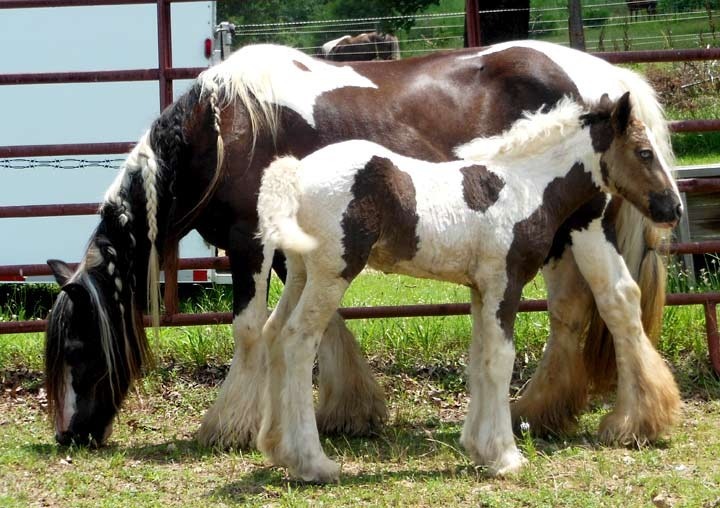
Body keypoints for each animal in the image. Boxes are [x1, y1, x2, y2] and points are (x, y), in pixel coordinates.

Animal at [258, 92, 680, 480]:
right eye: (644, 152)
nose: (672, 208)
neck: (525, 185)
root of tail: (295, 172)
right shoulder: (504, 283)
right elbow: (500, 360)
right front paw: (506, 457)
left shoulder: (479, 288)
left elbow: (479, 360)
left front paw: (480, 449)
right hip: (332, 273)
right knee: (297, 340)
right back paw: (313, 463)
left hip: (299, 271)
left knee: (274, 331)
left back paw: (277, 449)